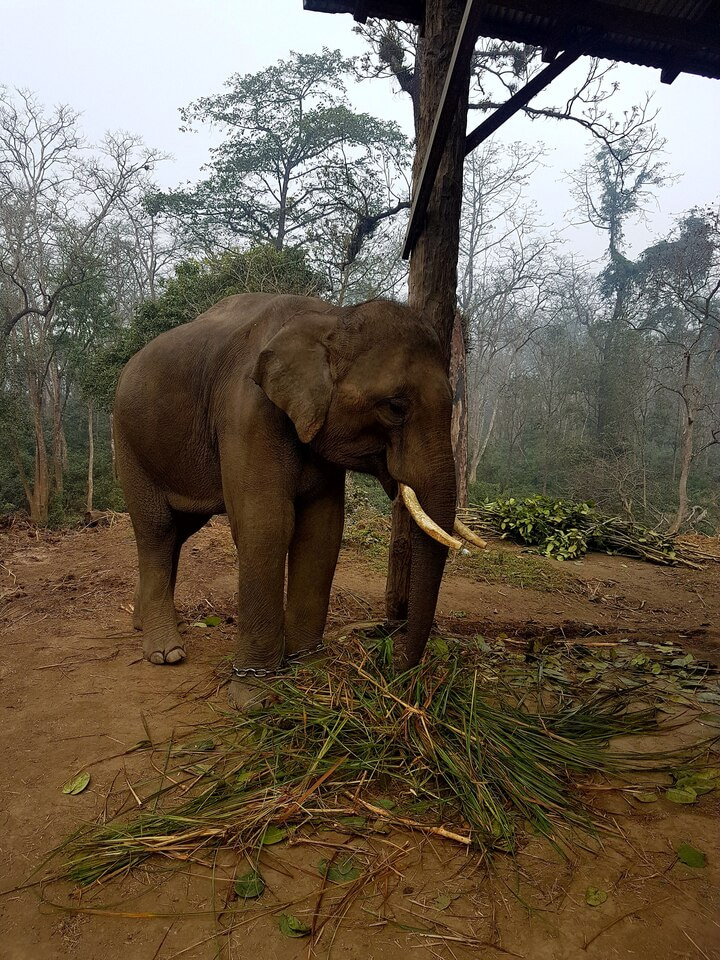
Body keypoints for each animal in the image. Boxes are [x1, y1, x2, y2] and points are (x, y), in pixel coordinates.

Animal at [114, 292, 481, 708]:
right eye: (395, 407)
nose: (396, 668)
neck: (332, 318)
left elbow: (322, 530)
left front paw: (309, 670)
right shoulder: (247, 411)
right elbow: (266, 525)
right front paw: (254, 696)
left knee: (180, 531)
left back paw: (145, 623)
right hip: (129, 443)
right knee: (158, 529)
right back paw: (165, 652)